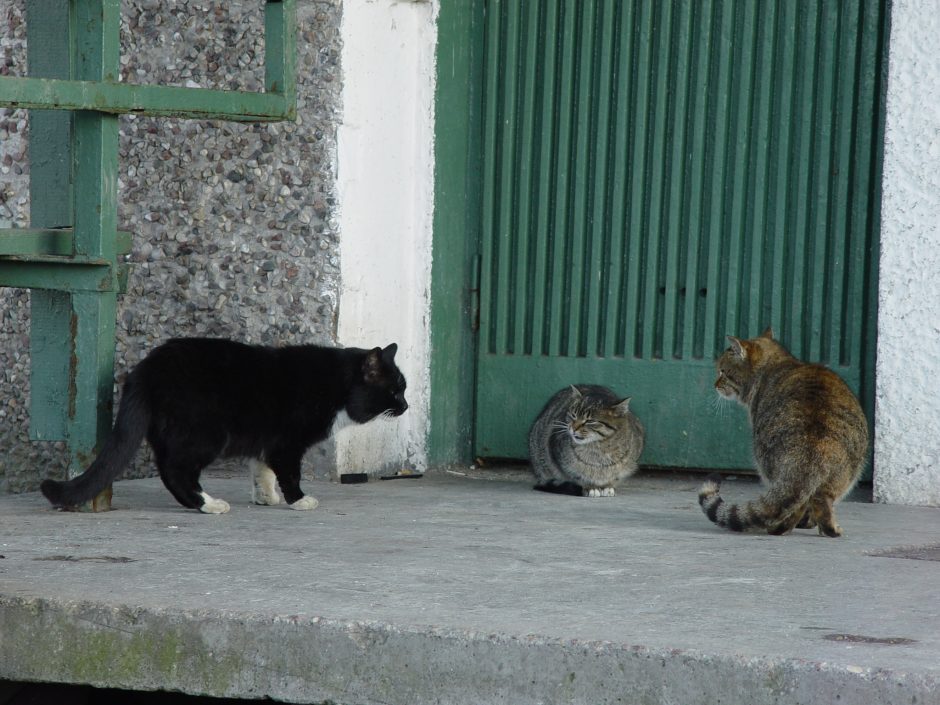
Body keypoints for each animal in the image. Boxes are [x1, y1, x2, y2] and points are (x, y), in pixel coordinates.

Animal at [41, 336, 408, 512]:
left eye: (403, 388)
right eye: (393, 391)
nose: (406, 406)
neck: (335, 385)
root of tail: (146, 369)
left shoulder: (267, 439)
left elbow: (262, 468)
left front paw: (266, 497)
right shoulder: (288, 442)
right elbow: (288, 472)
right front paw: (298, 500)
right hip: (205, 433)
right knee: (176, 470)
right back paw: (208, 504)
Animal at [696, 328, 868, 536]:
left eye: (722, 371)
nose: (715, 384)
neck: (777, 363)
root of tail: (811, 452)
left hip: (765, 463)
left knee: (798, 506)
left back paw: (780, 528)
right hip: (845, 476)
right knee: (819, 501)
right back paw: (828, 529)